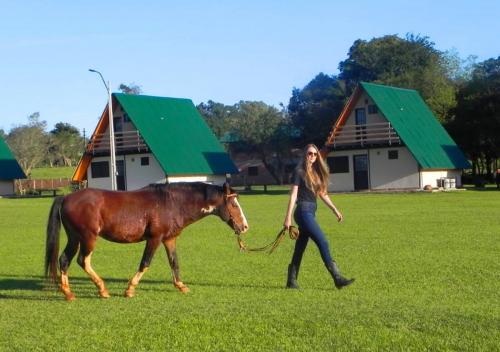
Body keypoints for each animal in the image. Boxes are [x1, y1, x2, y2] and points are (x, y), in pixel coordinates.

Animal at [45, 182, 248, 300]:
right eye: (233, 204)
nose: (245, 226)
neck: (171, 203)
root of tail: (67, 197)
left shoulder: (169, 239)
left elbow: (174, 262)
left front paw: (181, 286)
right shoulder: (154, 239)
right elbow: (145, 263)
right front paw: (130, 290)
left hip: (75, 238)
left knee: (64, 260)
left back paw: (68, 292)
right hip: (88, 238)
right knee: (82, 260)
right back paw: (101, 289)